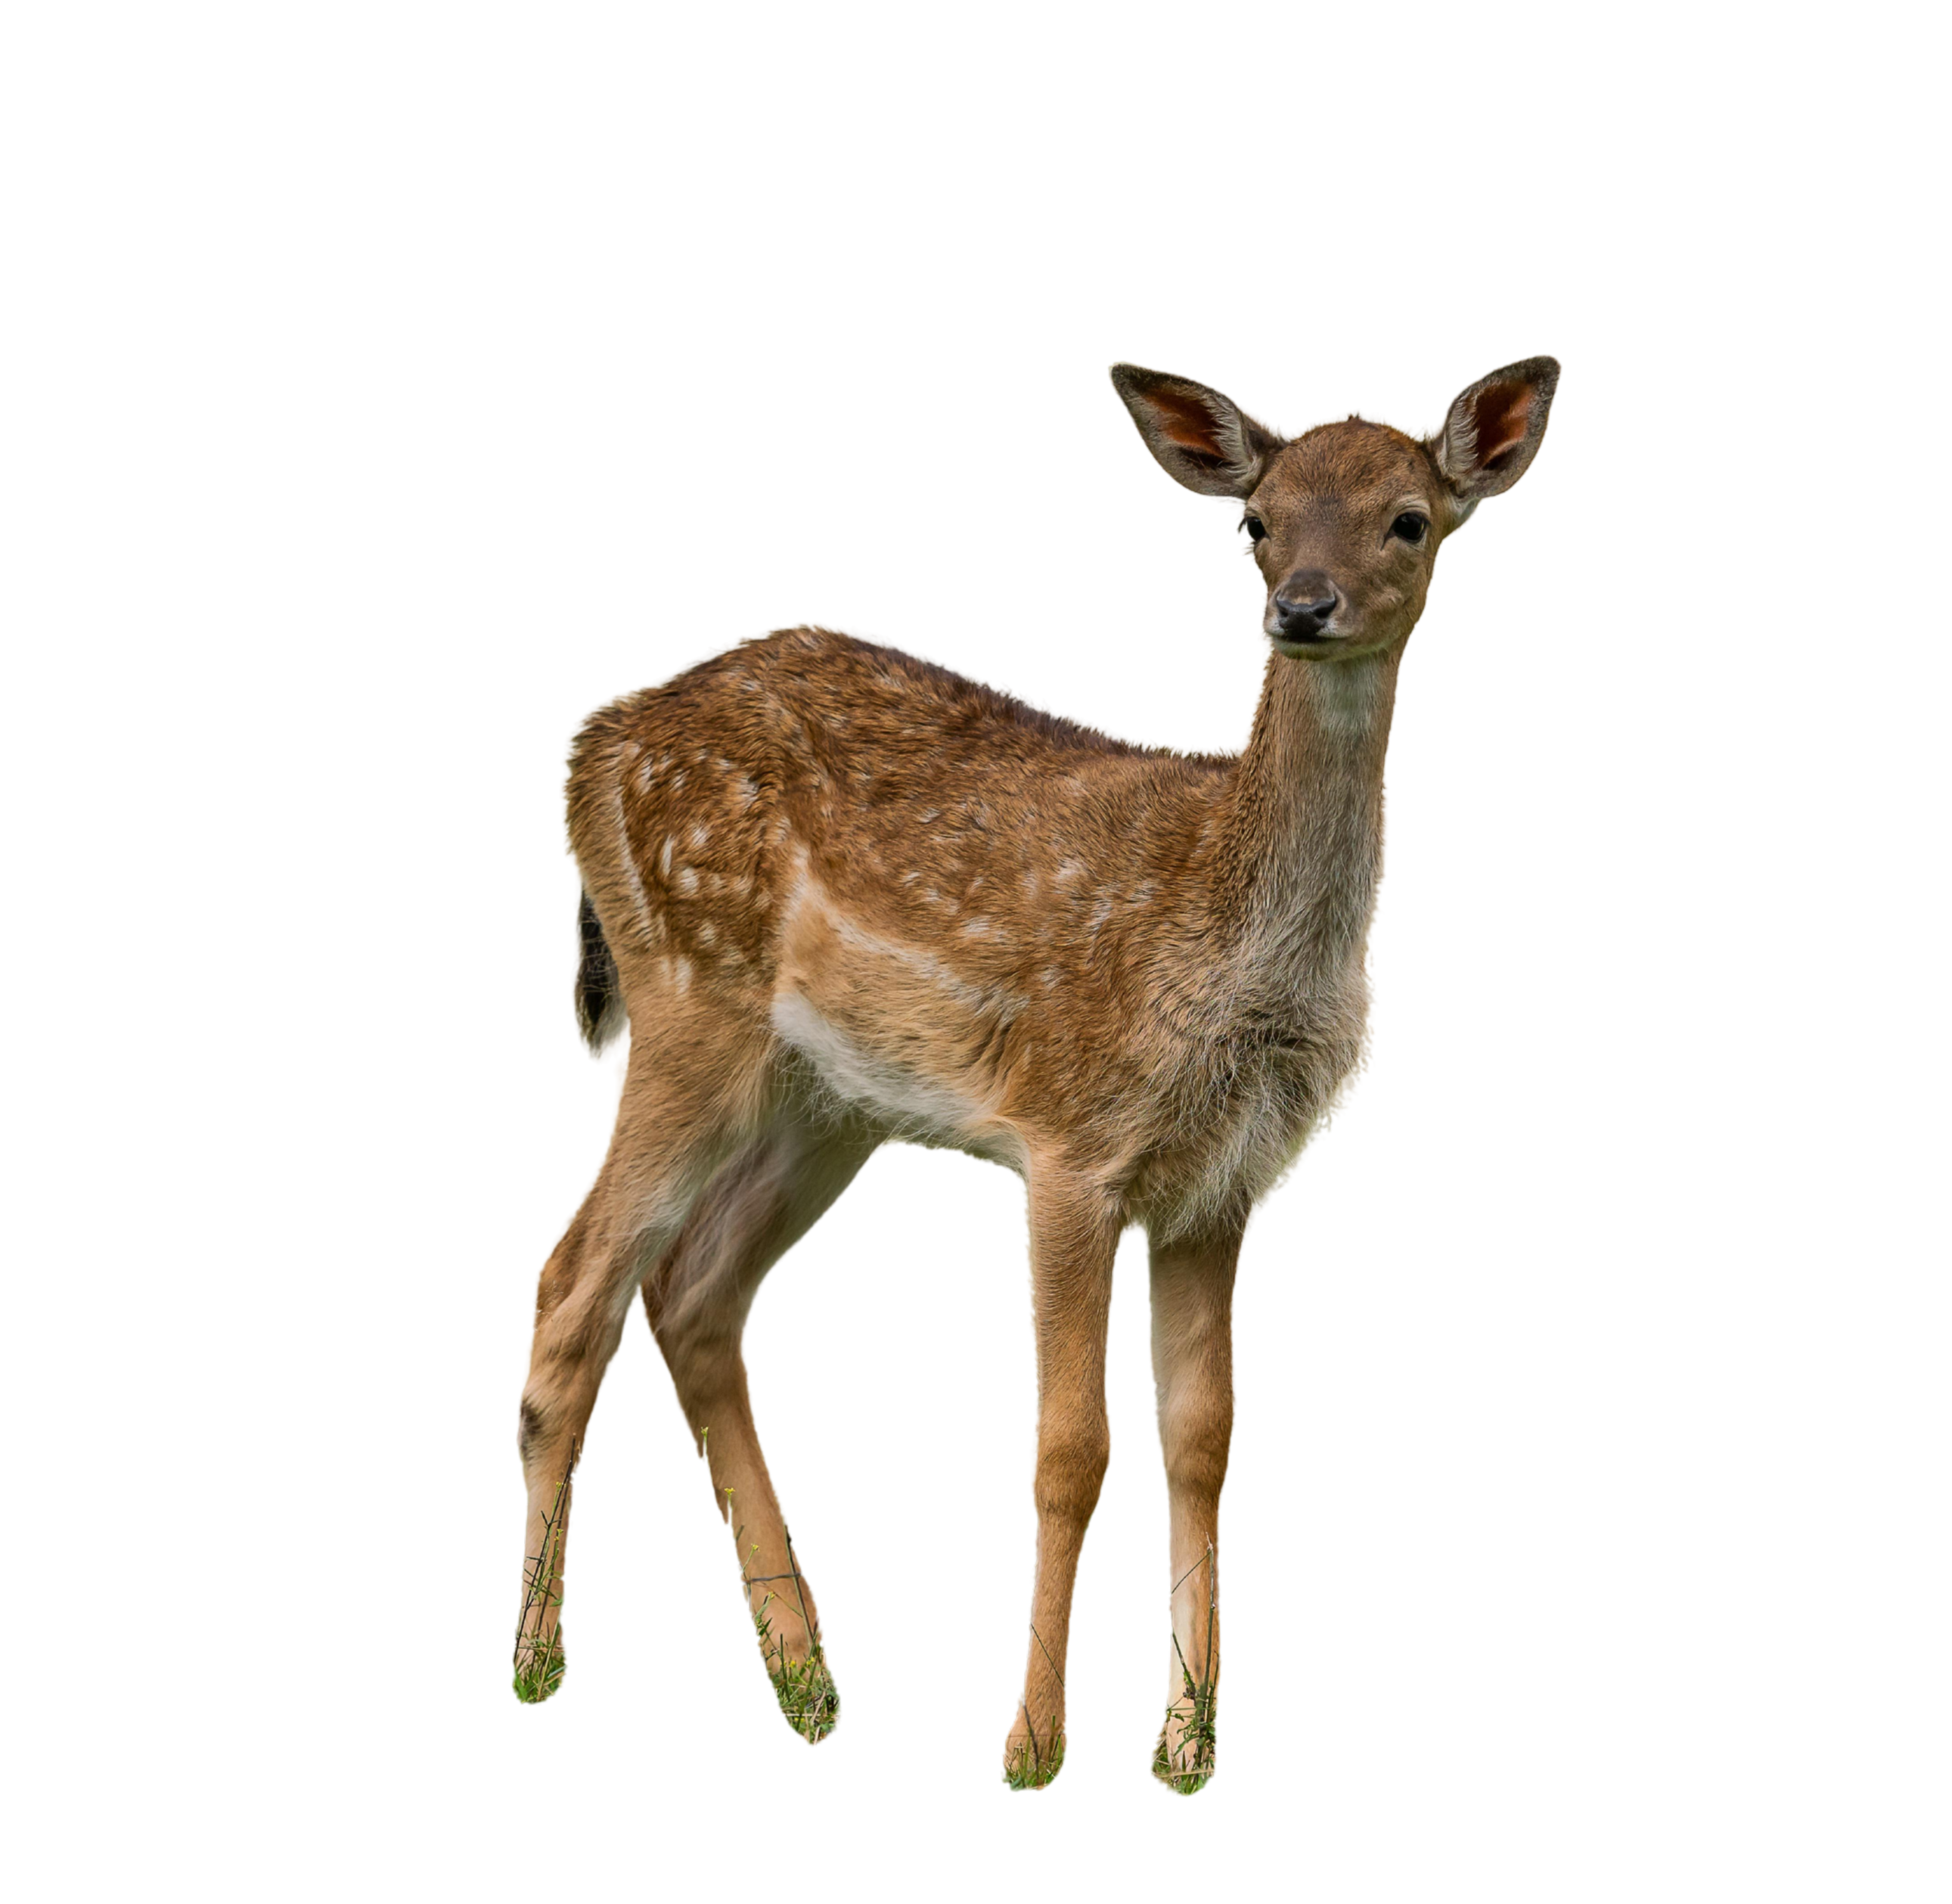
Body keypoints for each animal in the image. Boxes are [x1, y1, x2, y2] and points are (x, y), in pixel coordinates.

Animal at [511, 353, 1561, 1792]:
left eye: (1407, 520)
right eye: (1253, 524)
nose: (1301, 605)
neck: (1231, 944)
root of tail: (585, 734)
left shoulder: (1223, 1192)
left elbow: (1202, 1436)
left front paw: (1186, 1744)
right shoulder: (1069, 1141)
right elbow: (1070, 1445)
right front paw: (1031, 1744)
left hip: (829, 1100)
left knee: (696, 1294)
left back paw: (810, 1683)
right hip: (683, 1005)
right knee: (574, 1287)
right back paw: (537, 1665)